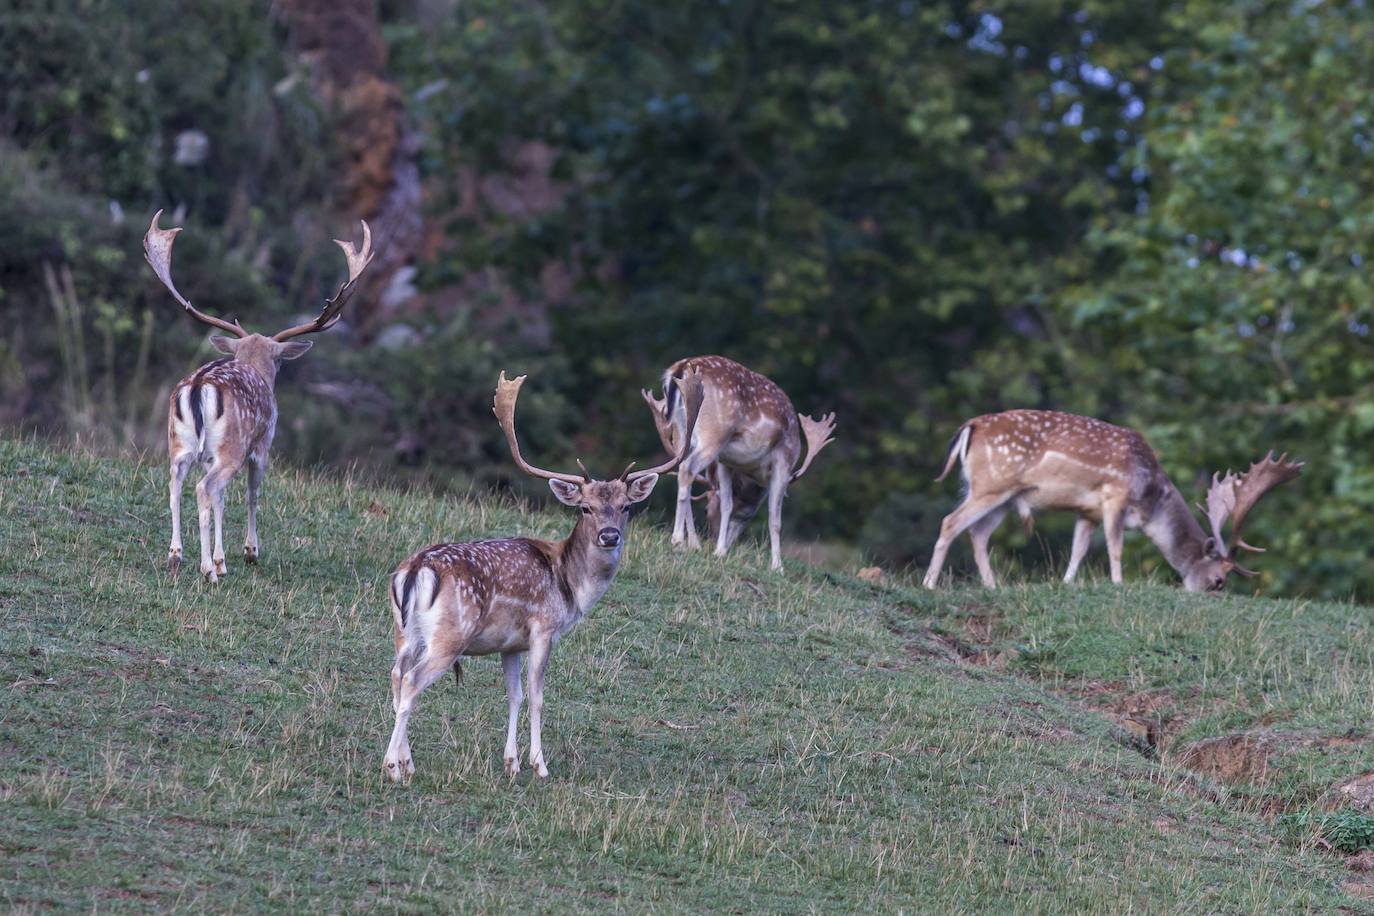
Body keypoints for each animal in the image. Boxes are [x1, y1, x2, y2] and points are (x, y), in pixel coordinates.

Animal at [146, 211, 376, 579]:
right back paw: (207, 569)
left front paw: (223, 559)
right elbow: (252, 494)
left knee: (175, 486)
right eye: (279, 359)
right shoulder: (262, 445)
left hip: (178, 445)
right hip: (232, 447)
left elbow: (223, 501)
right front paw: (247, 552)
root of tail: (198, 387)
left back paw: (176, 556)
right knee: (204, 488)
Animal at [381, 368, 703, 780]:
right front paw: (539, 764)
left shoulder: (510, 644)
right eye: (584, 507)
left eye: (626, 506)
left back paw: (406, 761)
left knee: (396, 676)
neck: (570, 586)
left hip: (404, 631)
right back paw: (393, 767)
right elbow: (537, 697)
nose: (609, 535)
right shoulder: (544, 628)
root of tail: (416, 570)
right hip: (450, 634)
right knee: (411, 681)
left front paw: (511, 762)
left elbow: (514, 696)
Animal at [923, 409, 1297, 596]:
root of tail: (969, 426)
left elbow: (1078, 550)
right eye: (1219, 579)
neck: (1150, 499)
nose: (1209, 593)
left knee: (978, 534)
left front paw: (1066, 583)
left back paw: (993, 585)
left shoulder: (1086, 511)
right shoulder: (1114, 494)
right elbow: (1115, 547)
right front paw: (1119, 584)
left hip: (1004, 496)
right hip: (991, 484)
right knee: (950, 522)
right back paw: (929, 584)